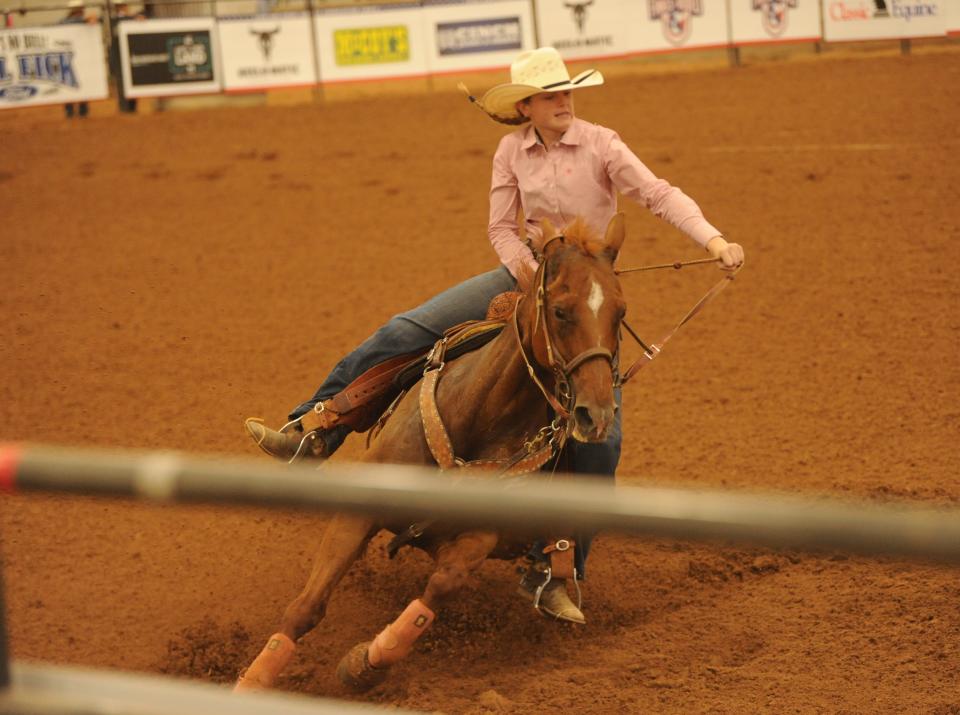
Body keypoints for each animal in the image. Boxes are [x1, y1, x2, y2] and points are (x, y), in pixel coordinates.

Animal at [236, 213, 632, 692]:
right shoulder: (357, 513)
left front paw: (364, 663)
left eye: (620, 313)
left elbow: (442, 585)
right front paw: (251, 683)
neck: (478, 419)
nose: (597, 414)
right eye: (560, 310)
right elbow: (305, 608)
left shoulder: (477, 538)